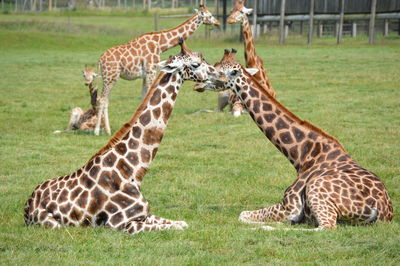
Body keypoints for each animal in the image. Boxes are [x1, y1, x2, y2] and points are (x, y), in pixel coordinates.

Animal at [24, 40, 225, 235]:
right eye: (195, 64)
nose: (221, 75)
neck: (132, 172)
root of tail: (27, 204)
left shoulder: (145, 215)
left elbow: (182, 223)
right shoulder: (121, 223)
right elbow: (178, 226)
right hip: (53, 224)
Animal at [95, 3, 220, 136]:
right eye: (210, 15)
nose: (218, 23)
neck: (160, 44)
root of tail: (100, 60)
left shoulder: (146, 74)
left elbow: (143, 98)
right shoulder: (151, 71)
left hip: (110, 77)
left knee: (105, 100)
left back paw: (107, 130)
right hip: (110, 77)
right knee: (102, 99)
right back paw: (98, 131)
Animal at [206, 50, 394, 231]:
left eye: (218, 71)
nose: (201, 83)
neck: (302, 156)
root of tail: (383, 210)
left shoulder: (289, 206)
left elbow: (242, 214)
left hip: (317, 190)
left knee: (327, 227)